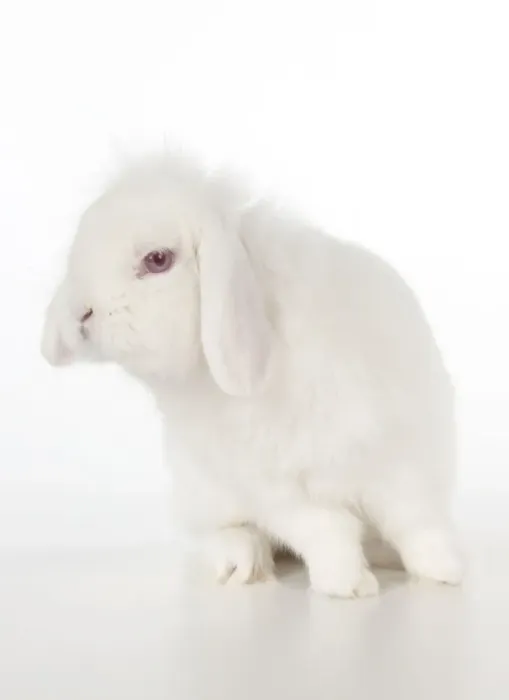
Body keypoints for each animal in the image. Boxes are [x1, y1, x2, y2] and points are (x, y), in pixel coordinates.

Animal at [41, 152, 464, 597]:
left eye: (158, 260)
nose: (81, 314)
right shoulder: (272, 489)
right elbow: (327, 531)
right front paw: (348, 585)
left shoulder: (399, 454)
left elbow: (415, 521)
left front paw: (443, 573)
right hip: (204, 496)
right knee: (219, 534)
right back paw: (242, 563)